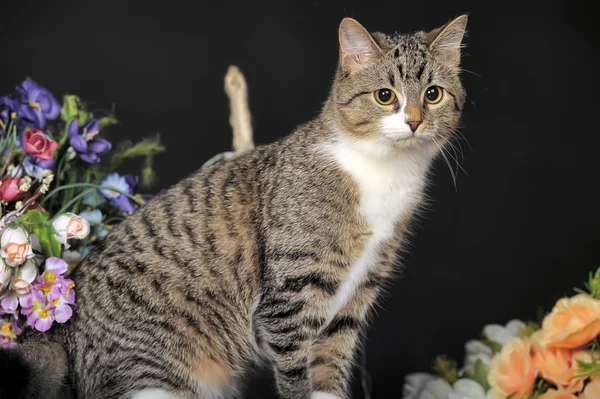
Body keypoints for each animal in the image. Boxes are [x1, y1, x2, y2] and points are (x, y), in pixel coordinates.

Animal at [0, 14, 468, 399]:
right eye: (386, 96)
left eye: (433, 94)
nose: (414, 120)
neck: (381, 171)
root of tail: (67, 331)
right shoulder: (290, 296)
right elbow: (295, 374)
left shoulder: (354, 299)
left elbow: (329, 368)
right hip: (153, 374)